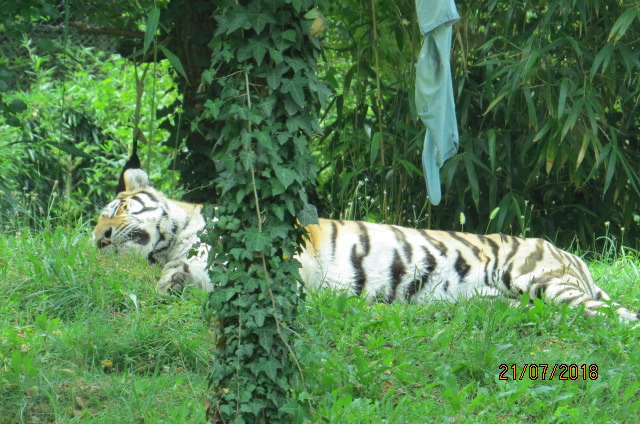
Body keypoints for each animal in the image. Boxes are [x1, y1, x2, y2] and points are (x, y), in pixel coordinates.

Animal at [93, 166, 640, 323]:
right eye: (96, 229)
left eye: (117, 209)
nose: (98, 239)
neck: (181, 237)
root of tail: (573, 257)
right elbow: (184, 279)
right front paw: (170, 285)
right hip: (505, 297)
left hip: (537, 276)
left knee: (613, 316)